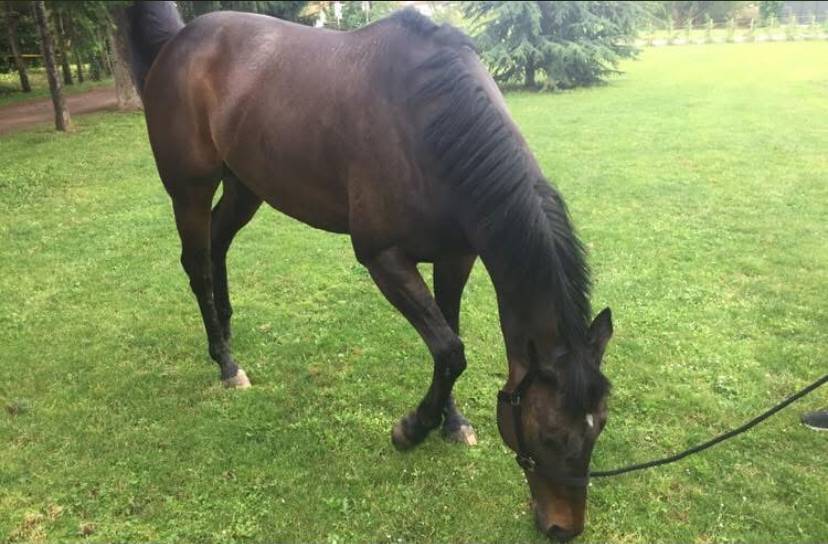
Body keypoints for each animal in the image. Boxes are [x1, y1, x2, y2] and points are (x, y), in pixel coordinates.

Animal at [126, 2, 614, 540]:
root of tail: (180, 41)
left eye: (601, 424)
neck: (428, 123)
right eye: (549, 433)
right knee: (197, 265)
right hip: (189, 188)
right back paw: (226, 363)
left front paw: (452, 422)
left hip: (244, 186)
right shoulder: (384, 258)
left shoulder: (455, 257)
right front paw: (410, 430)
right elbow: (449, 349)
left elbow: (450, 338)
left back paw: (229, 332)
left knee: (218, 246)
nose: (564, 528)